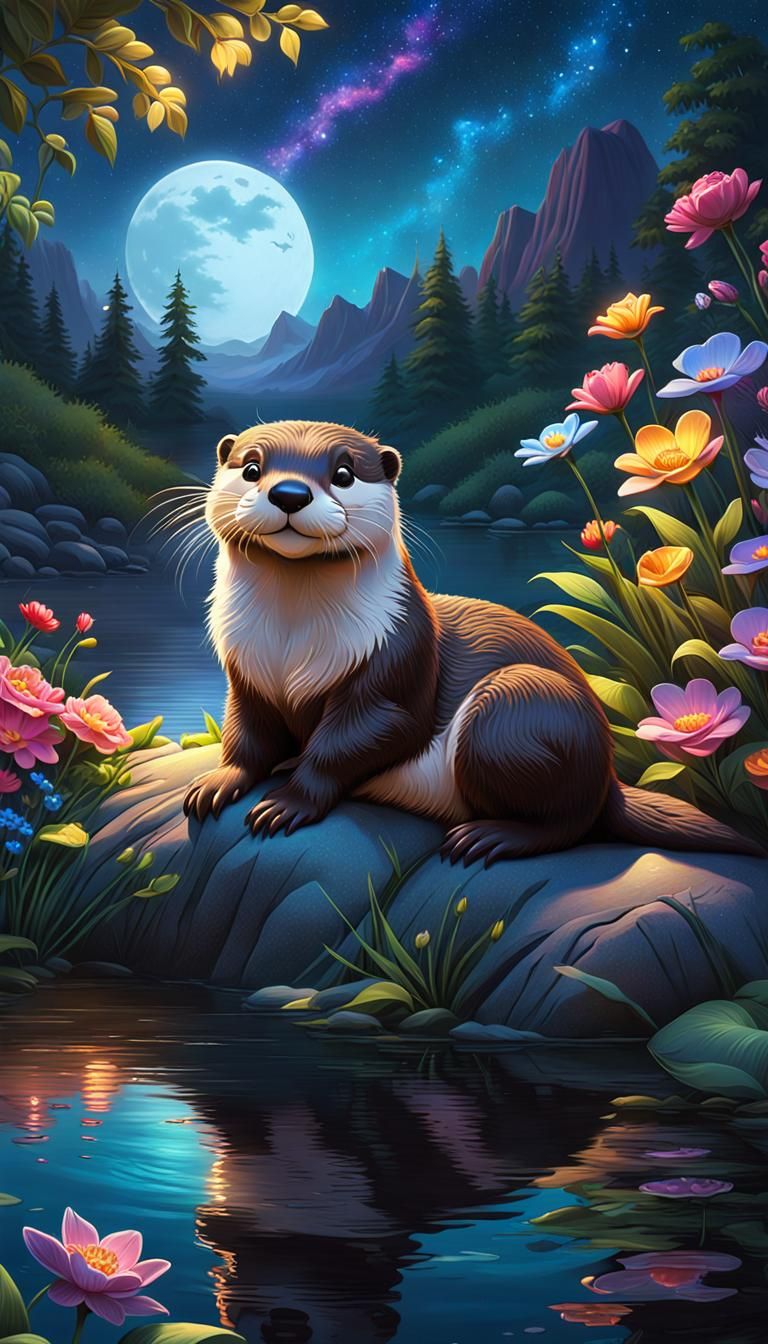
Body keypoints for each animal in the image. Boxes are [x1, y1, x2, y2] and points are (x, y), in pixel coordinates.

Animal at [183, 420, 759, 866]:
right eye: (252, 467)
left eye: (343, 473)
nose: (289, 493)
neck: (291, 644)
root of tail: (608, 776)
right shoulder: (246, 671)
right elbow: (247, 734)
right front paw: (218, 782)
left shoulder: (396, 656)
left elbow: (359, 735)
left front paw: (288, 803)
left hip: (518, 706)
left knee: (567, 821)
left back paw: (490, 837)